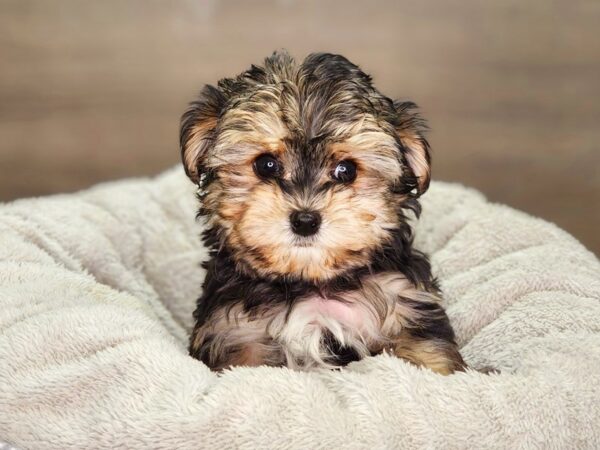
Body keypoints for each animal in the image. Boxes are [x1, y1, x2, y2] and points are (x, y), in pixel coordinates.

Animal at [180, 49, 466, 374]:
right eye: (266, 165)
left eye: (346, 170)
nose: (305, 220)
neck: (311, 285)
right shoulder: (235, 333)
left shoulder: (406, 305)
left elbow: (431, 358)